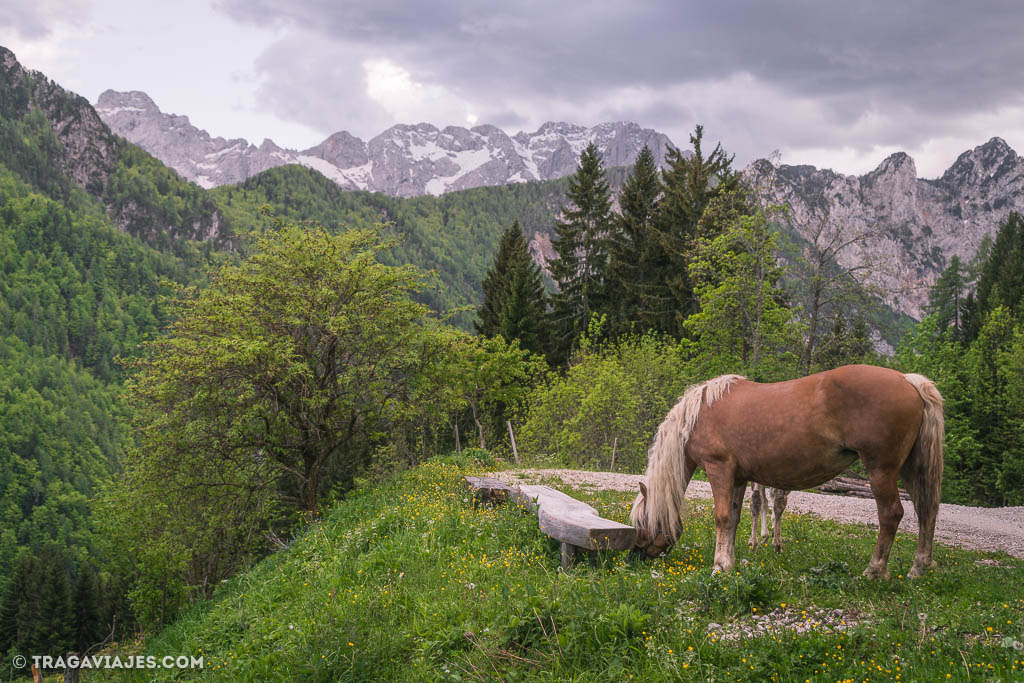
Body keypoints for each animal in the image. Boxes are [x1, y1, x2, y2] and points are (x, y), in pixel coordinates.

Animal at [626, 366, 946, 581]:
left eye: (641, 522)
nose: (635, 556)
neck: (697, 415)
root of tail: (907, 380)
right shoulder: (738, 478)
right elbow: (735, 520)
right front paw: (731, 561)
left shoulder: (719, 470)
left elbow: (722, 518)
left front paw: (720, 565)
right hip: (910, 470)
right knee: (927, 511)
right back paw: (919, 568)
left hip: (881, 470)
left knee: (891, 514)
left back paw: (875, 570)